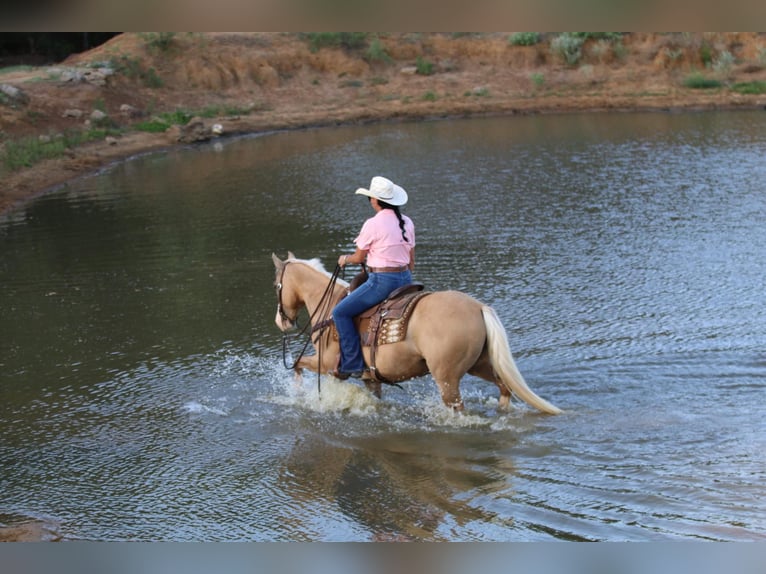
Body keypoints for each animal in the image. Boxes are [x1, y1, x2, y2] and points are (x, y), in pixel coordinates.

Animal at [272, 253, 560, 414]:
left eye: (277, 285)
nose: (281, 321)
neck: (331, 305)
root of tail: (478, 307)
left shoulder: (329, 365)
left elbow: (297, 363)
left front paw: (298, 393)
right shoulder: (370, 378)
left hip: (447, 378)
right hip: (480, 364)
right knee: (504, 388)